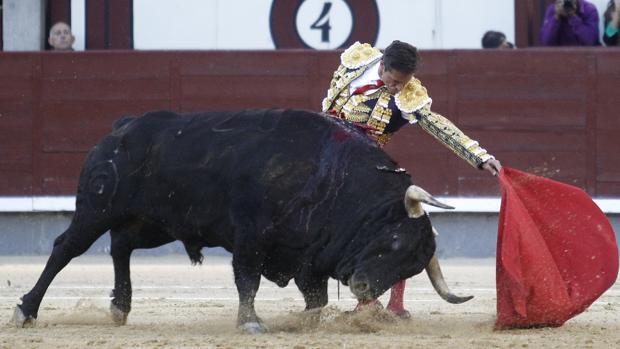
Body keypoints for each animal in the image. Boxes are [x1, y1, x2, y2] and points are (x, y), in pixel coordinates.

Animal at [13, 108, 470, 328]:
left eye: (409, 267)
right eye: (393, 241)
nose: (362, 288)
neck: (332, 178)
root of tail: (122, 128)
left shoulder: (307, 255)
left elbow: (316, 299)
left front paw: (301, 322)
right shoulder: (251, 237)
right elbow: (247, 280)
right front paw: (251, 323)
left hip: (155, 224)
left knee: (121, 246)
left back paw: (120, 307)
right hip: (97, 208)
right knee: (65, 249)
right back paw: (27, 311)